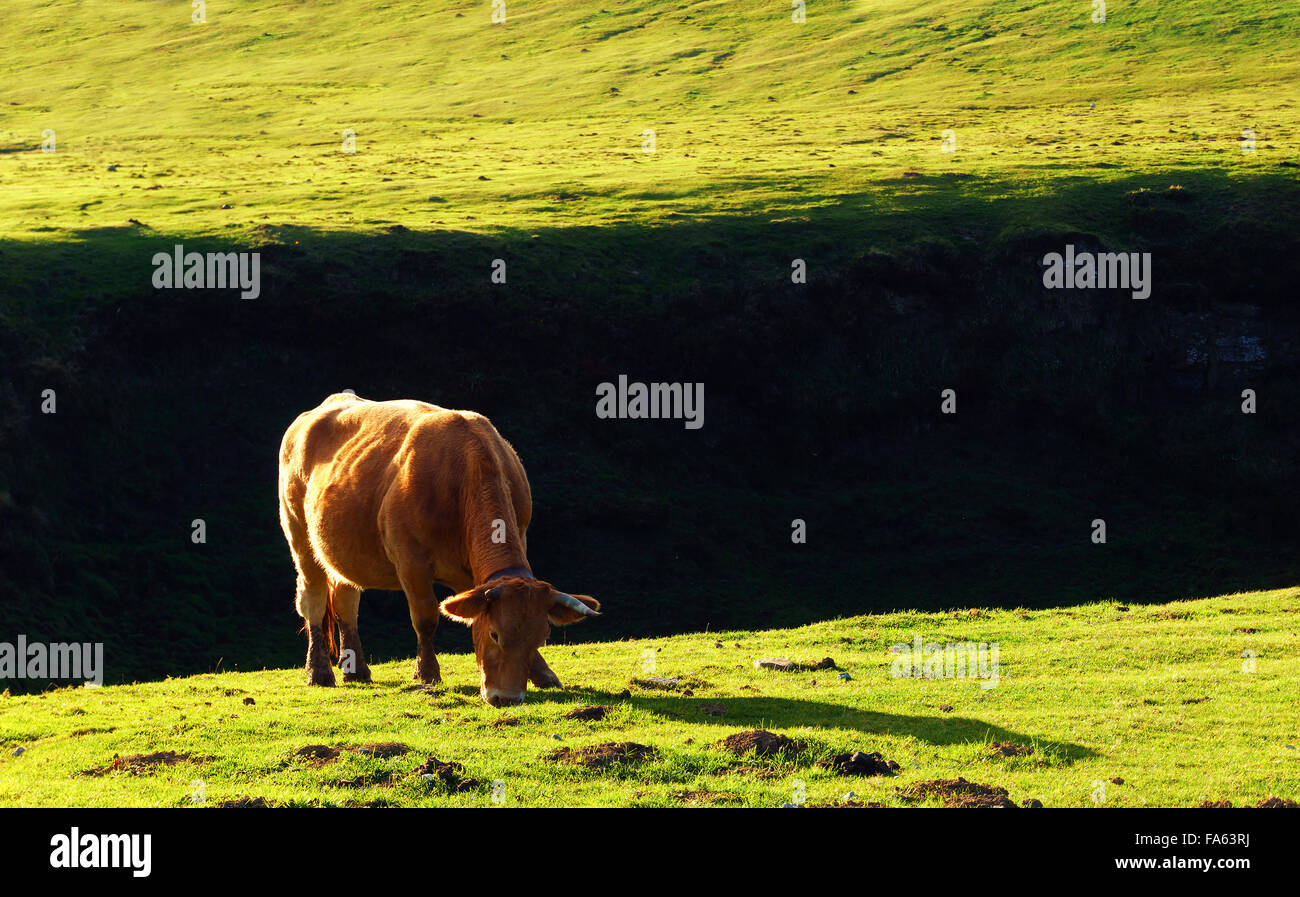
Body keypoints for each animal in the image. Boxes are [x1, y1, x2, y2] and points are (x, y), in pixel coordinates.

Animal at [277, 393, 600, 707]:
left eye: (540, 639)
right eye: (494, 634)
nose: (507, 698)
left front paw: (544, 674)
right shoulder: (410, 562)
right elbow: (426, 617)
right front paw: (427, 673)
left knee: (346, 601)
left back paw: (356, 671)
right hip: (298, 533)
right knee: (313, 599)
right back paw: (319, 671)